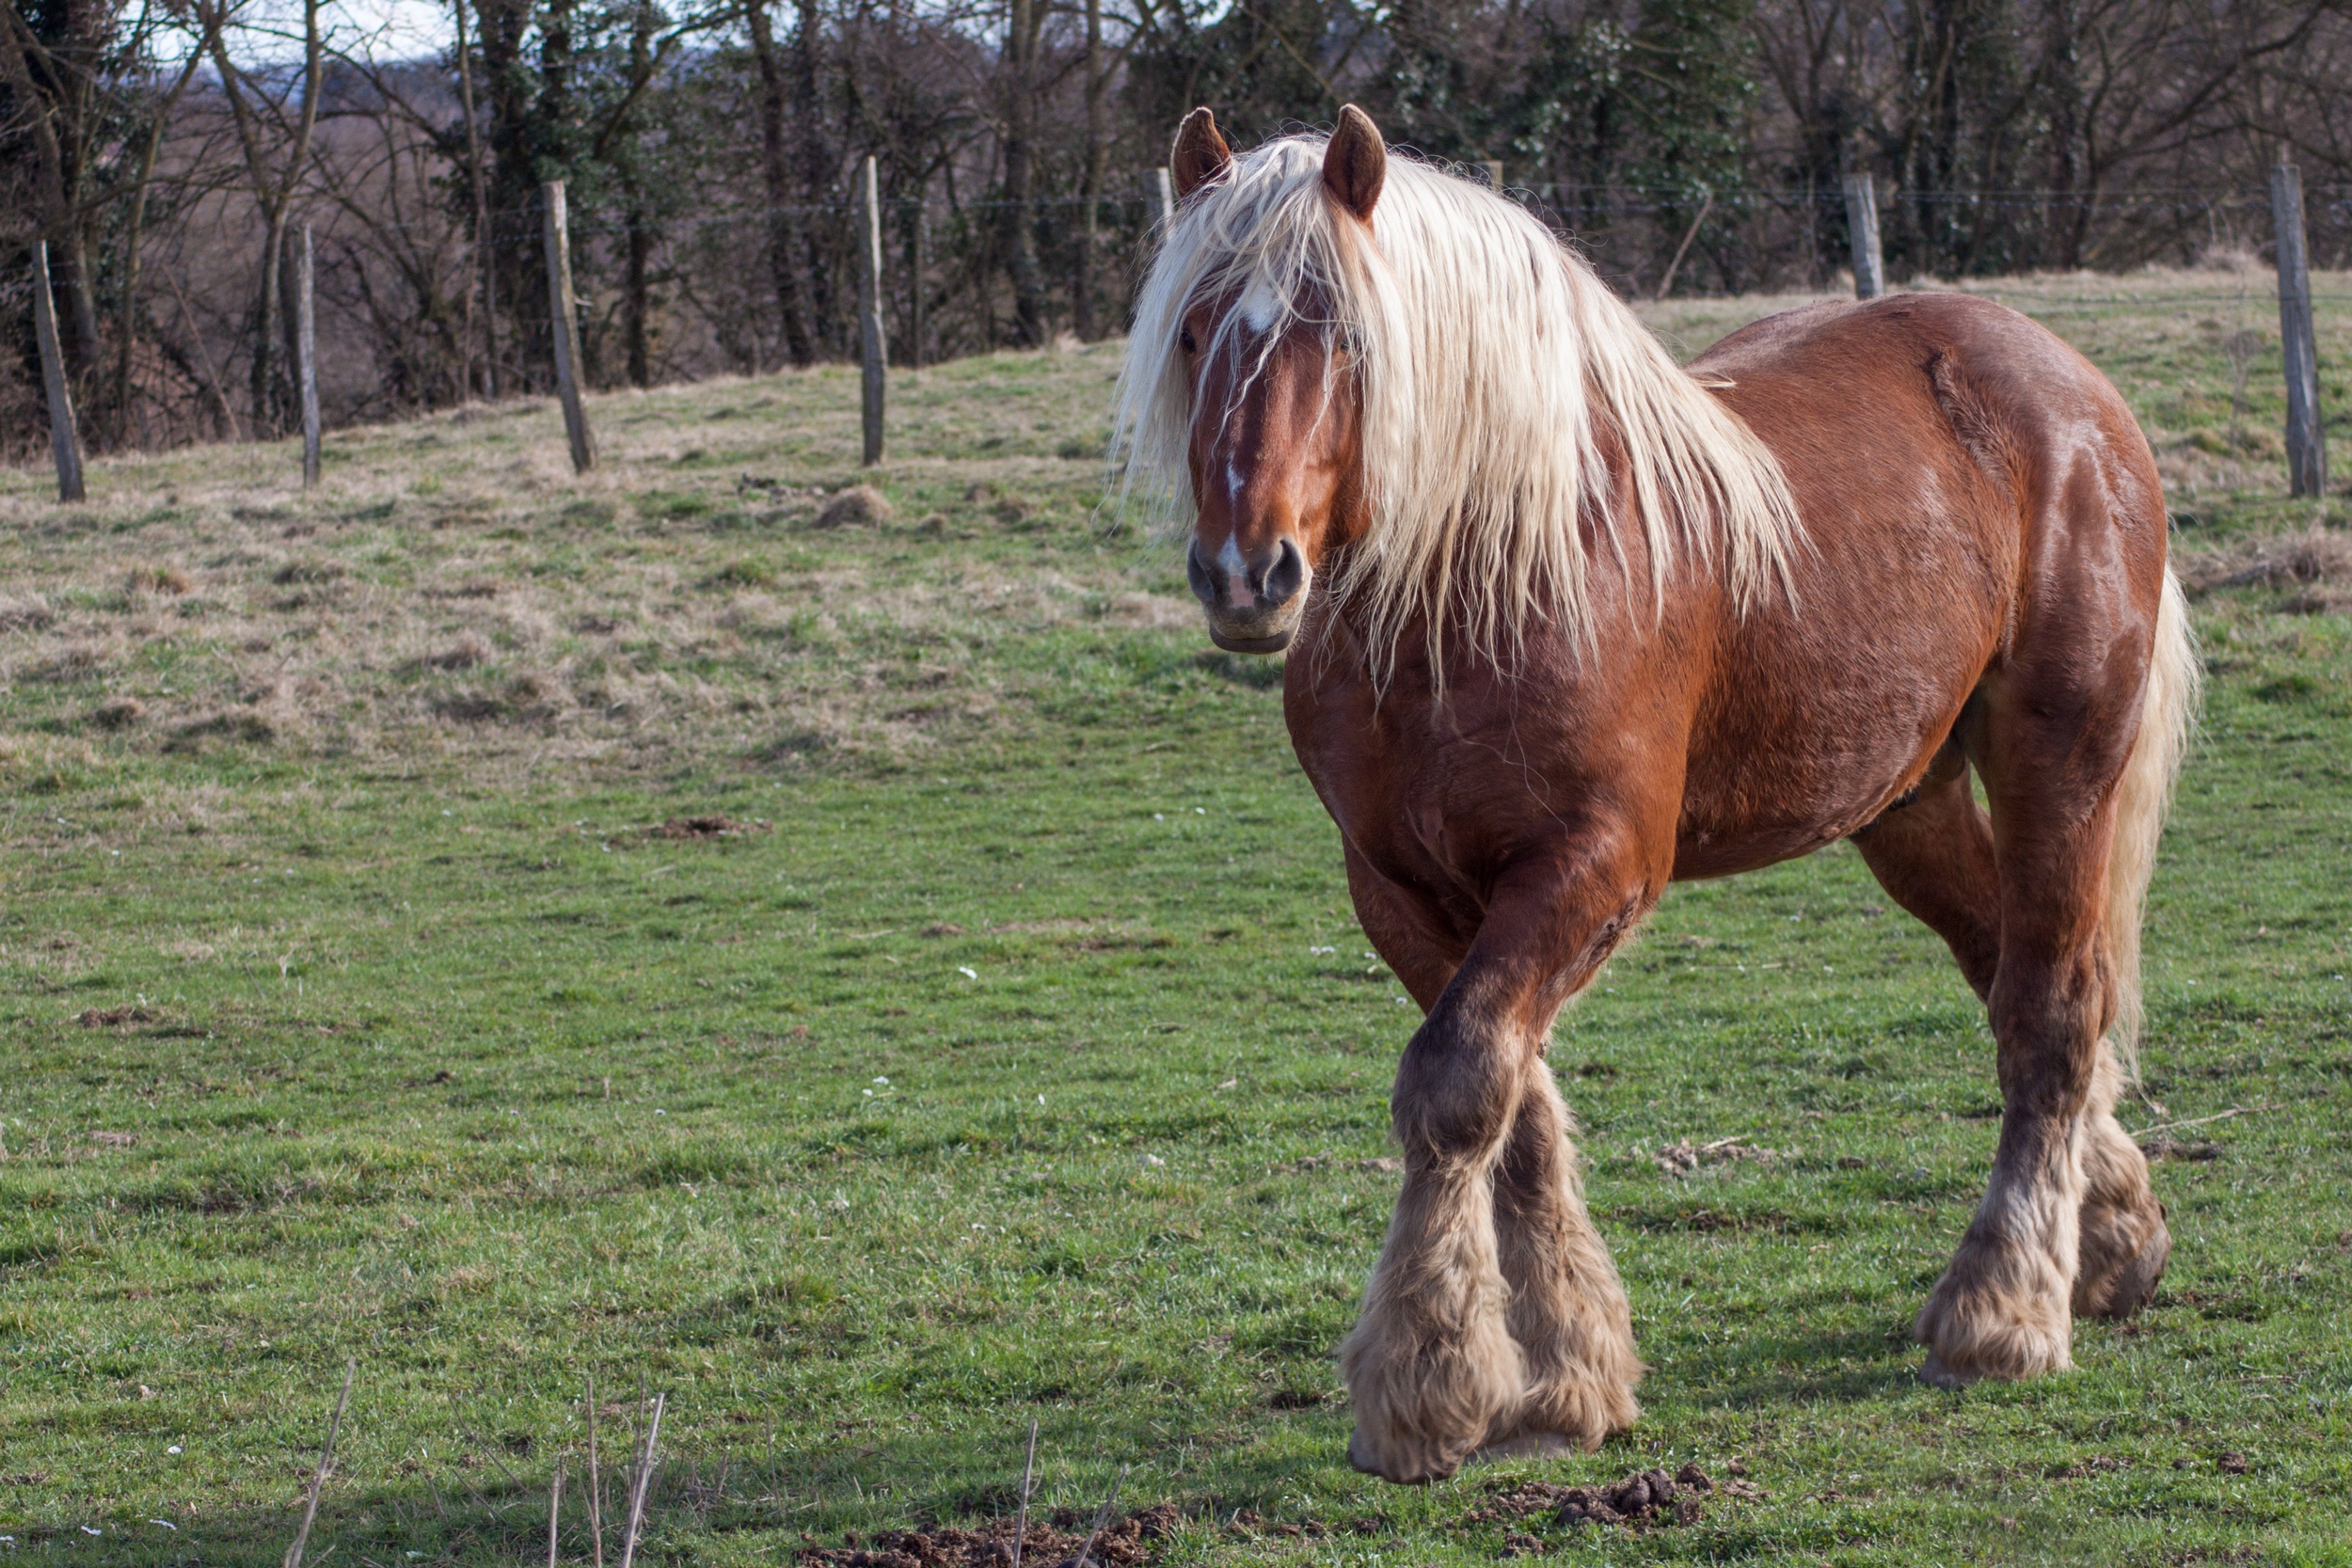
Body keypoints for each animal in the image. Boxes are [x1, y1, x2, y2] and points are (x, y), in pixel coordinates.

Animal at [1110, 107, 2192, 1485]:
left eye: (1345, 335)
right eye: (1194, 330)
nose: (1249, 573)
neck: (1479, 578)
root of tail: (2069, 384)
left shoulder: (1595, 864)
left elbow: (1456, 1082)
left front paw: (1424, 1385)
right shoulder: (1399, 888)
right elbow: (1512, 1104)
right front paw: (1564, 1374)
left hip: (2063, 758)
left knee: (2051, 1007)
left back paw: (2000, 1312)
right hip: (1908, 801)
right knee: (2014, 976)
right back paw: (2110, 1241)